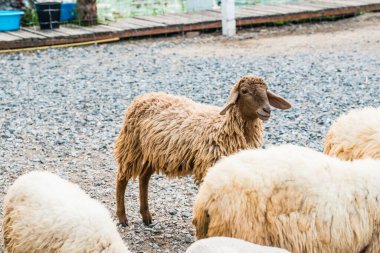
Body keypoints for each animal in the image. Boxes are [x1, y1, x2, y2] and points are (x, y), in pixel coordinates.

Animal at [114, 75, 292, 225]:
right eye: (244, 91)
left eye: (266, 91)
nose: (267, 110)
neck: (224, 129)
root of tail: (143, 96)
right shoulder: (208, 167)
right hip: (131, 146)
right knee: (122, 179)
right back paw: (122, 218)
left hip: (152, 152)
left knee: (144, 179)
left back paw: (146, 216)